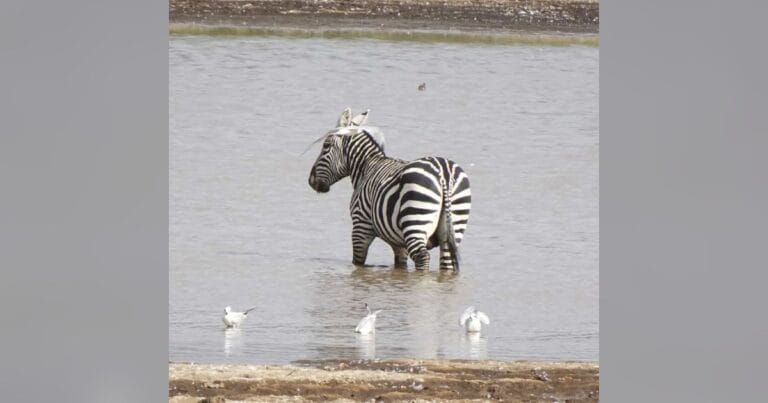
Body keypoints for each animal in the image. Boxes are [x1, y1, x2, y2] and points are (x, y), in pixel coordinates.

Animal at [307, 109, 471, 271]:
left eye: (326, 145)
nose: (311, 181)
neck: (366, 167)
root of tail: (444, 173)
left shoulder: (360, 227)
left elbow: (358, 262)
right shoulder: (398, 243)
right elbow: (400, 266)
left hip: (415, 220)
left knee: (422, 257)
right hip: (454, 225)